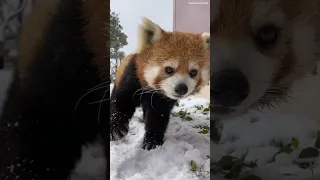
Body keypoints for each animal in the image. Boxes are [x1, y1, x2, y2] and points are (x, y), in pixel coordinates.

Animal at [110, 16, 210, 150]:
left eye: (193, 72)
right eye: (169, 69)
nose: (181, 88)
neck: (150, 90)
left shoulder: (162, 100)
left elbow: (158, 116)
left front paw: (152, 141)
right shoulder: (132, 77)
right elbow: (121, 101)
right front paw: (116, 129)